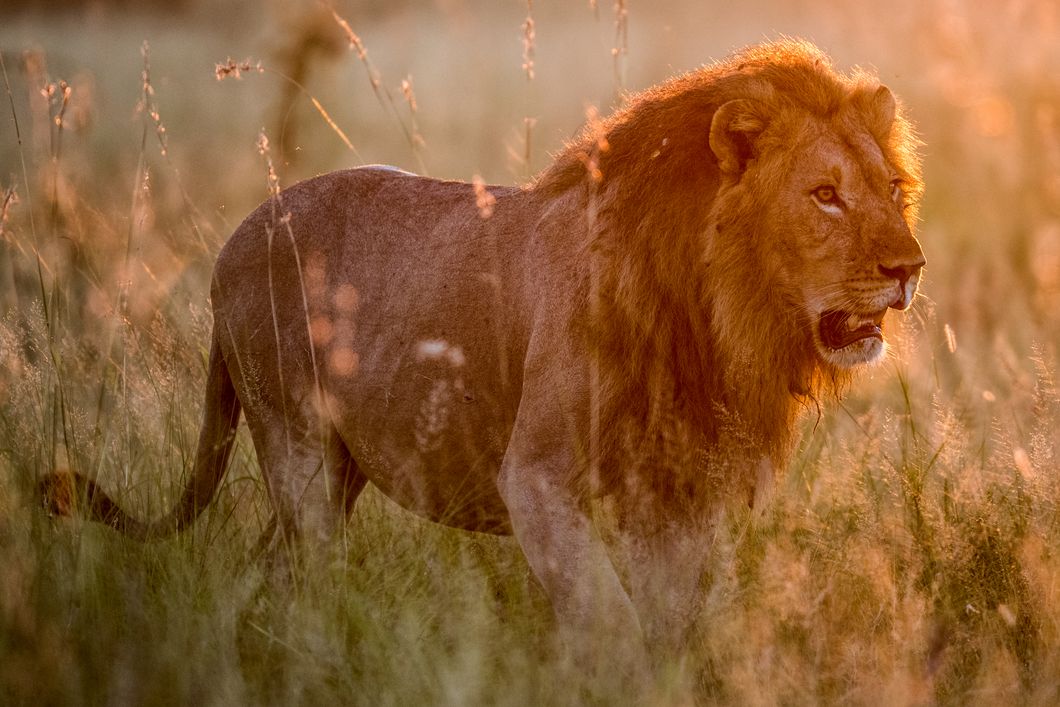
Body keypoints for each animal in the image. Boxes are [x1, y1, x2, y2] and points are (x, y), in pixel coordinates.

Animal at [40, 39, 924, 656]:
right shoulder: (536, 477)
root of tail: (235, 239)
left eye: (890, 189)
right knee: (305, 571)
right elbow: (611, 622)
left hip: (335, 470)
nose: (909, 268)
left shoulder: (678, 498)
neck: (717, 317)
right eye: (825, 195)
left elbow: (671, 624)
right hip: (298, 445)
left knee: (268, 569)